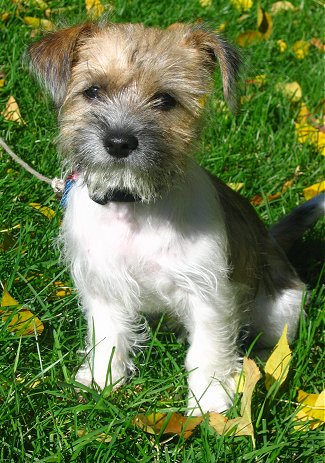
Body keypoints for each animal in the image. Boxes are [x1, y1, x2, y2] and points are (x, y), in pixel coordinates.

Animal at [28, 21, 324, 416]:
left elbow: (208, 351)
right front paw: (102, 381)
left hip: (282, 309)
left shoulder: (208, 293)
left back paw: (258, 363)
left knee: (275, 341)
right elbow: (107, 335)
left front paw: (211, 403)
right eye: (92, 91)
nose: (119, 142)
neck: (135, 205)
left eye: (166, 99)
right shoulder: (104, 284)